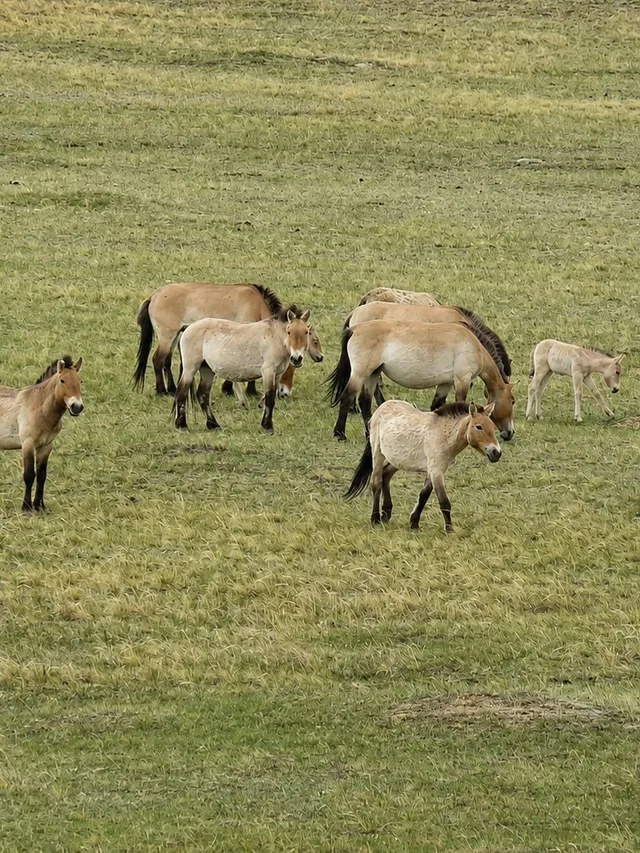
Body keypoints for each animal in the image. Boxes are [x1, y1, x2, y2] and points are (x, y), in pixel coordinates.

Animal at [0, 356, 84, 512]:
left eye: (80, 381)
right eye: (62, 380)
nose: (77, 407)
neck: (38, 407)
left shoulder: (46, 446)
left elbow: (41, 476)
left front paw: (40, 506)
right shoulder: (28, 444)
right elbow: (29, 475)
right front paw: (26, 507)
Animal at [134, 282, 290, 398]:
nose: (283, 393)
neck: (255, 304)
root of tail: (154, 296)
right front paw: (240, 390)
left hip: (174, 336)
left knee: (166, 361)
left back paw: (171, 389)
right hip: (167, 336)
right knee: (158, 360)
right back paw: (161, 391)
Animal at [174, 308, 311, 433]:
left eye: (306, 332)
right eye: (289, 332)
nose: (296, 358)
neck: (274, 337)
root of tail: (188, 327)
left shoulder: (277, 375)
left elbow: (269, 399)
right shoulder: (268, 372)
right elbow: (270, 400)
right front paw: (268, 427)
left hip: (207, 370)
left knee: (203, 395)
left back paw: (213, 425)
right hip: (190, 369)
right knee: (181, 393)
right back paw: (182, 425)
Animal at [328, 320, 515, 441]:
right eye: (512, 401)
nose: (510, 432)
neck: (472, 345)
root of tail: (355, 328)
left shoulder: (445, 383)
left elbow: (437, 406)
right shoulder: (462, 380)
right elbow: (460, 404)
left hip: (373, 374)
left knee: (365, 402)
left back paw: (369, 434)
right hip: (360, 374)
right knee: (347, 397)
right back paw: (340, 433)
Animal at [345, 400, 501, 532]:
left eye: (493, 427)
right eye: (479, 427)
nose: (497, 453)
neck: (443, 433)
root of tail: (381, 407)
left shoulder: (434, 470)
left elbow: (424, 495)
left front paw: (414, 523)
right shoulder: (436, 471)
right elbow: (444, 502)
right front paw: (449, 530)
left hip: (398, 459)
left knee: (386, 475)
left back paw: (386, 513)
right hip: (378, 453)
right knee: (376, 482)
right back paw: (375, 519)